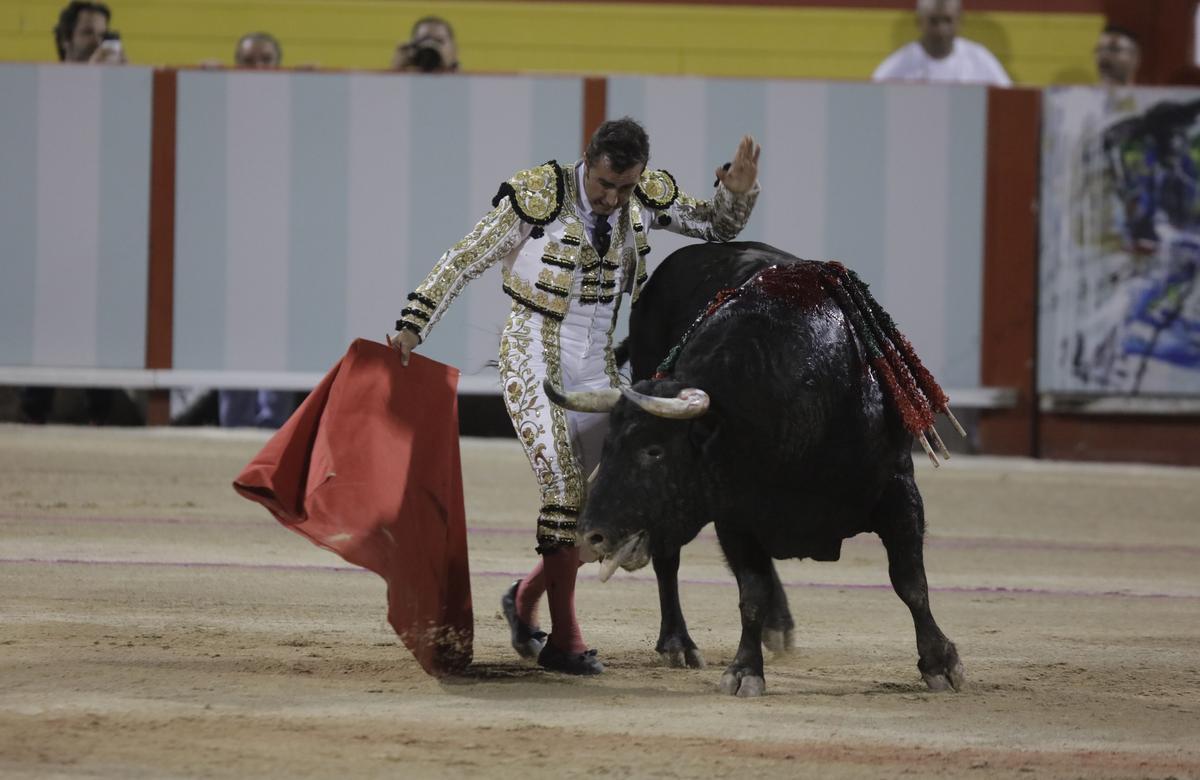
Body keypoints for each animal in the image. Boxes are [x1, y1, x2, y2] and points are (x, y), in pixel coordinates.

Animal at [544, 240, 964, 696]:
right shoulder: (734, 511)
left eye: (653, 451)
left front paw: (940, 663)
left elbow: (910, 581)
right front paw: (745, 670)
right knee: (669, 561)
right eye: (607, 446)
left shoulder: (899, 489)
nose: (590, 536)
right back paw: (679, 643)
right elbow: (752, 592)